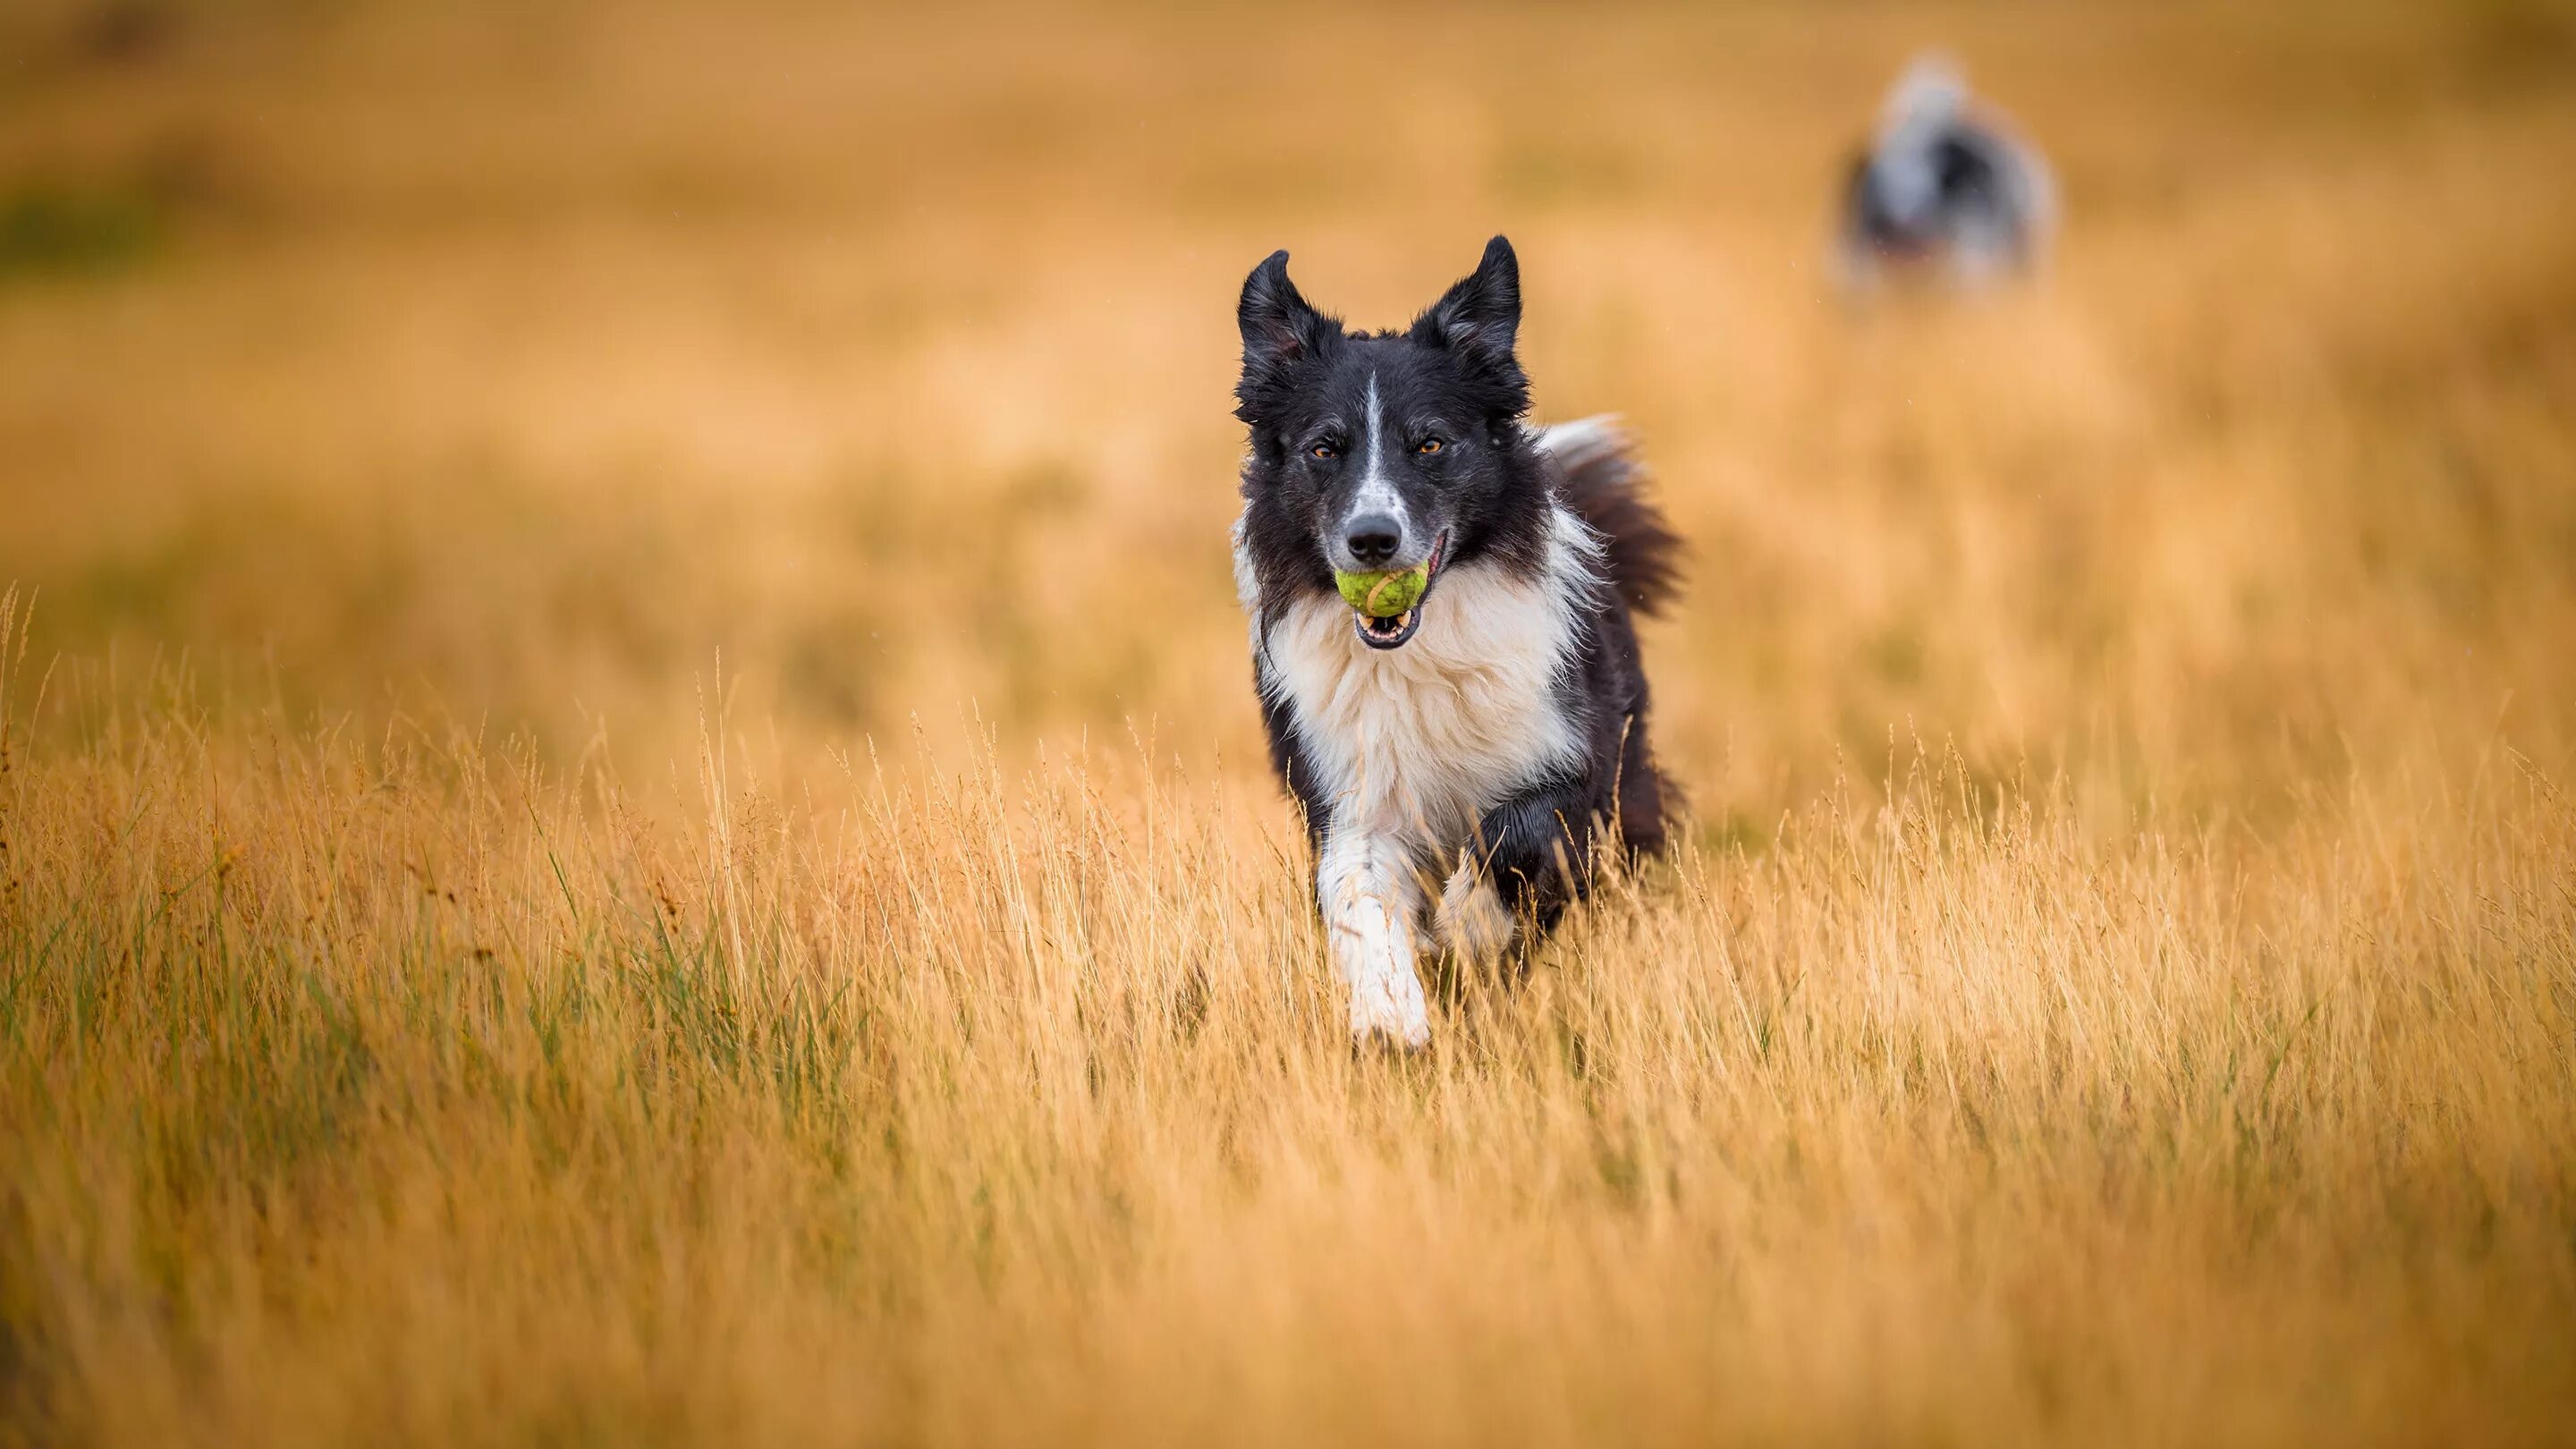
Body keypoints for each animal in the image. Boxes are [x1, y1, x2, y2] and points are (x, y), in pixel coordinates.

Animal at [1231, 237, 1690, 1036]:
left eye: (1430, 444)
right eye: (1324, 449)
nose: (1372, 541)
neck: (1418, 651)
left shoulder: (1570, 760)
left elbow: (1518, 833)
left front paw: (1470, 926)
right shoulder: (1351, 790)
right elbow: (1359, 894)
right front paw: (1390, 1016)